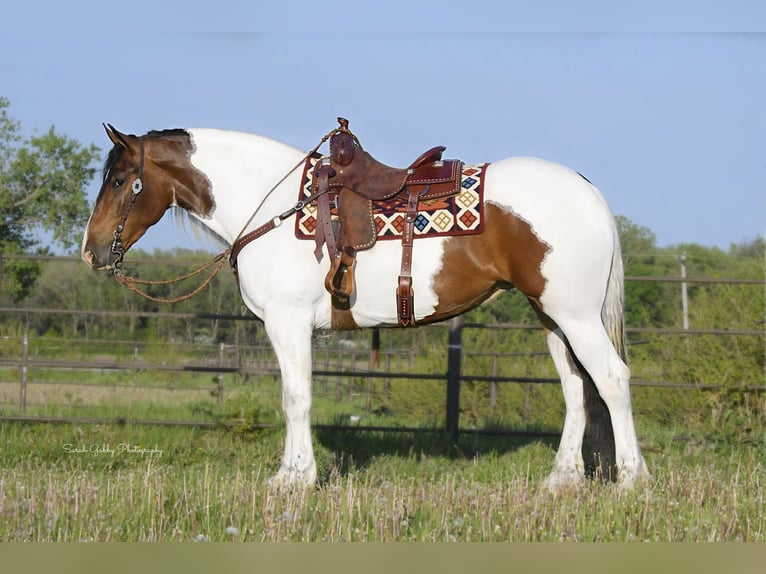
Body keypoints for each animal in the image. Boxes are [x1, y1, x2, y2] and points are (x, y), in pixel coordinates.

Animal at [82, 121, 648, 490]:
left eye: (119, 180)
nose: (91, 252)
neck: (275, 209)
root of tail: (587, 191)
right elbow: (294, 398)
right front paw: (290, 474)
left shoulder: (288, 324)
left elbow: (296, 399)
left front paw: (296, 480)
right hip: (551, 317)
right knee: (576, 387)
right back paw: (562, 480)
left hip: (573, 315)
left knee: (611, 379)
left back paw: (631, 480)